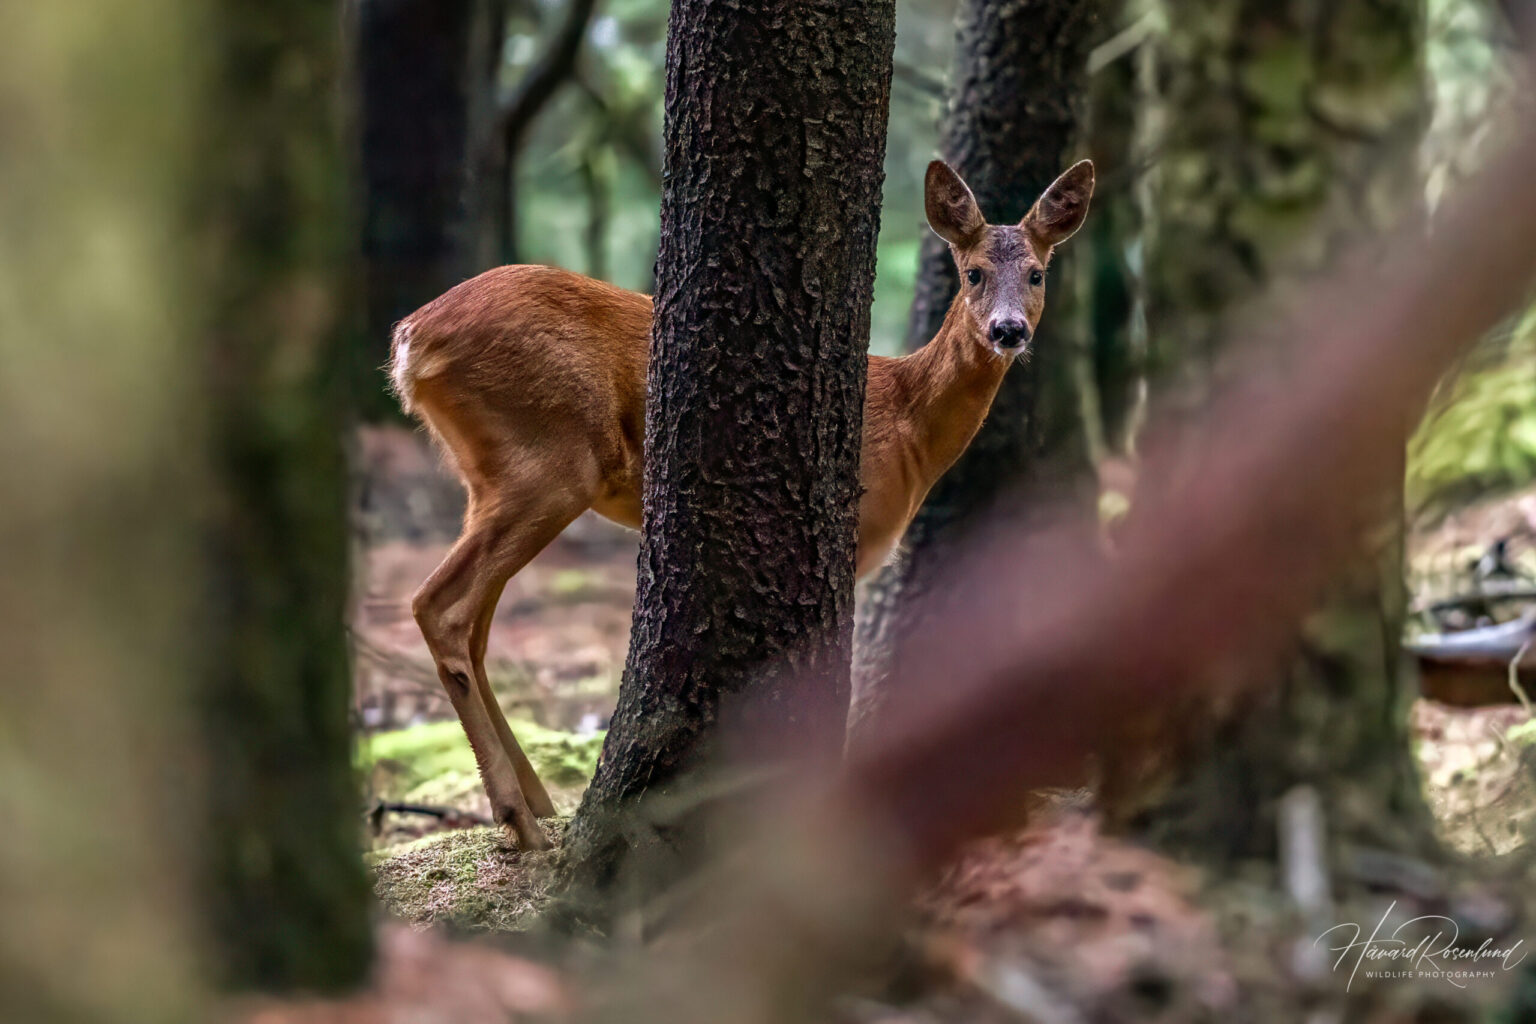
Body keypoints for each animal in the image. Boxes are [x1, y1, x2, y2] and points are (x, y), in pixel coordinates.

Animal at [389, 158, 1094, 850]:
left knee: (475, 625)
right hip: (550, 462)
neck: (908, 427)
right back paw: (521, 818)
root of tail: (411, 341)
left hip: (493, 476)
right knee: (439, 606)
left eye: (1036, 273)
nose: (1009, 330)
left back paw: (538, 805)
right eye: (973, 272)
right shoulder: (853, 540)